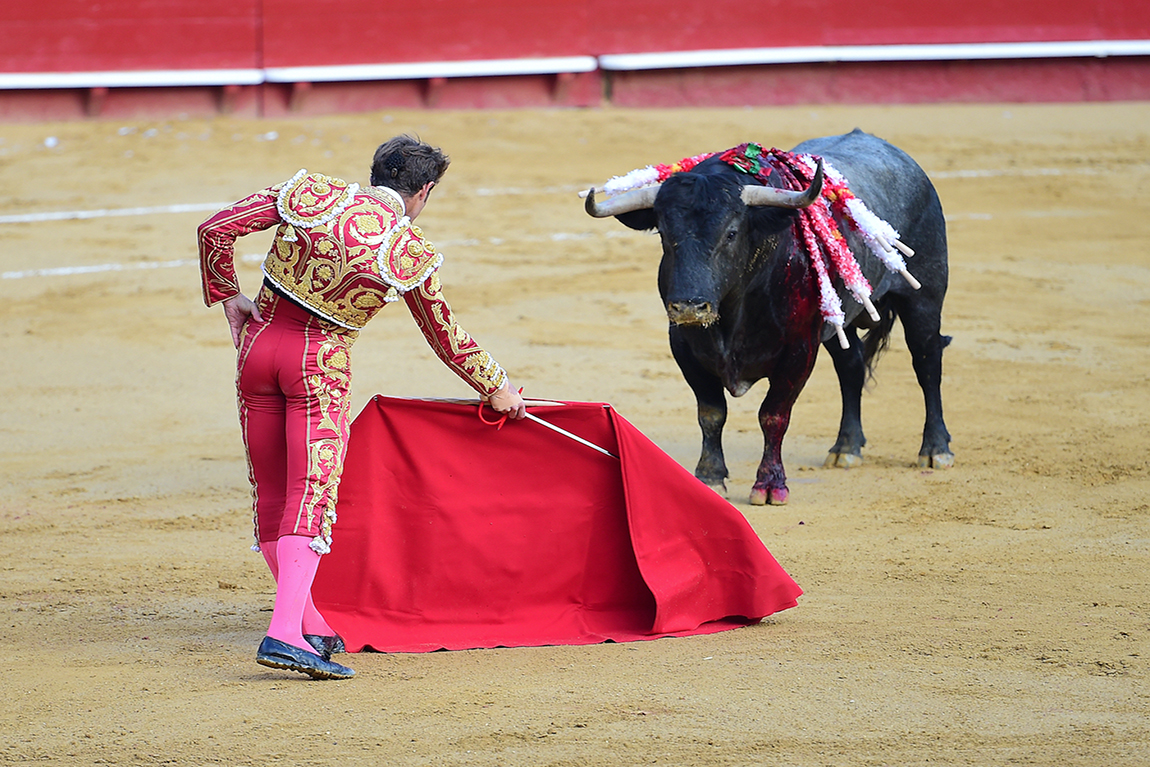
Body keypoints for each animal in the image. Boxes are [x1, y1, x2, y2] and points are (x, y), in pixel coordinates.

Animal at [584, 129, 952, 505]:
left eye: (731, 233)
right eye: (663, 233)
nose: (689, 307)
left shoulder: (799, 350)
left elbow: (773, 415)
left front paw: (770, 484)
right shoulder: (684, 347)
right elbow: (711, 413)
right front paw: (709, 478)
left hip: (924, 297)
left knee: (927, 362)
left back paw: (935, 450)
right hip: (839, 321)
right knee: (851, 367)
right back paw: (846, 448)